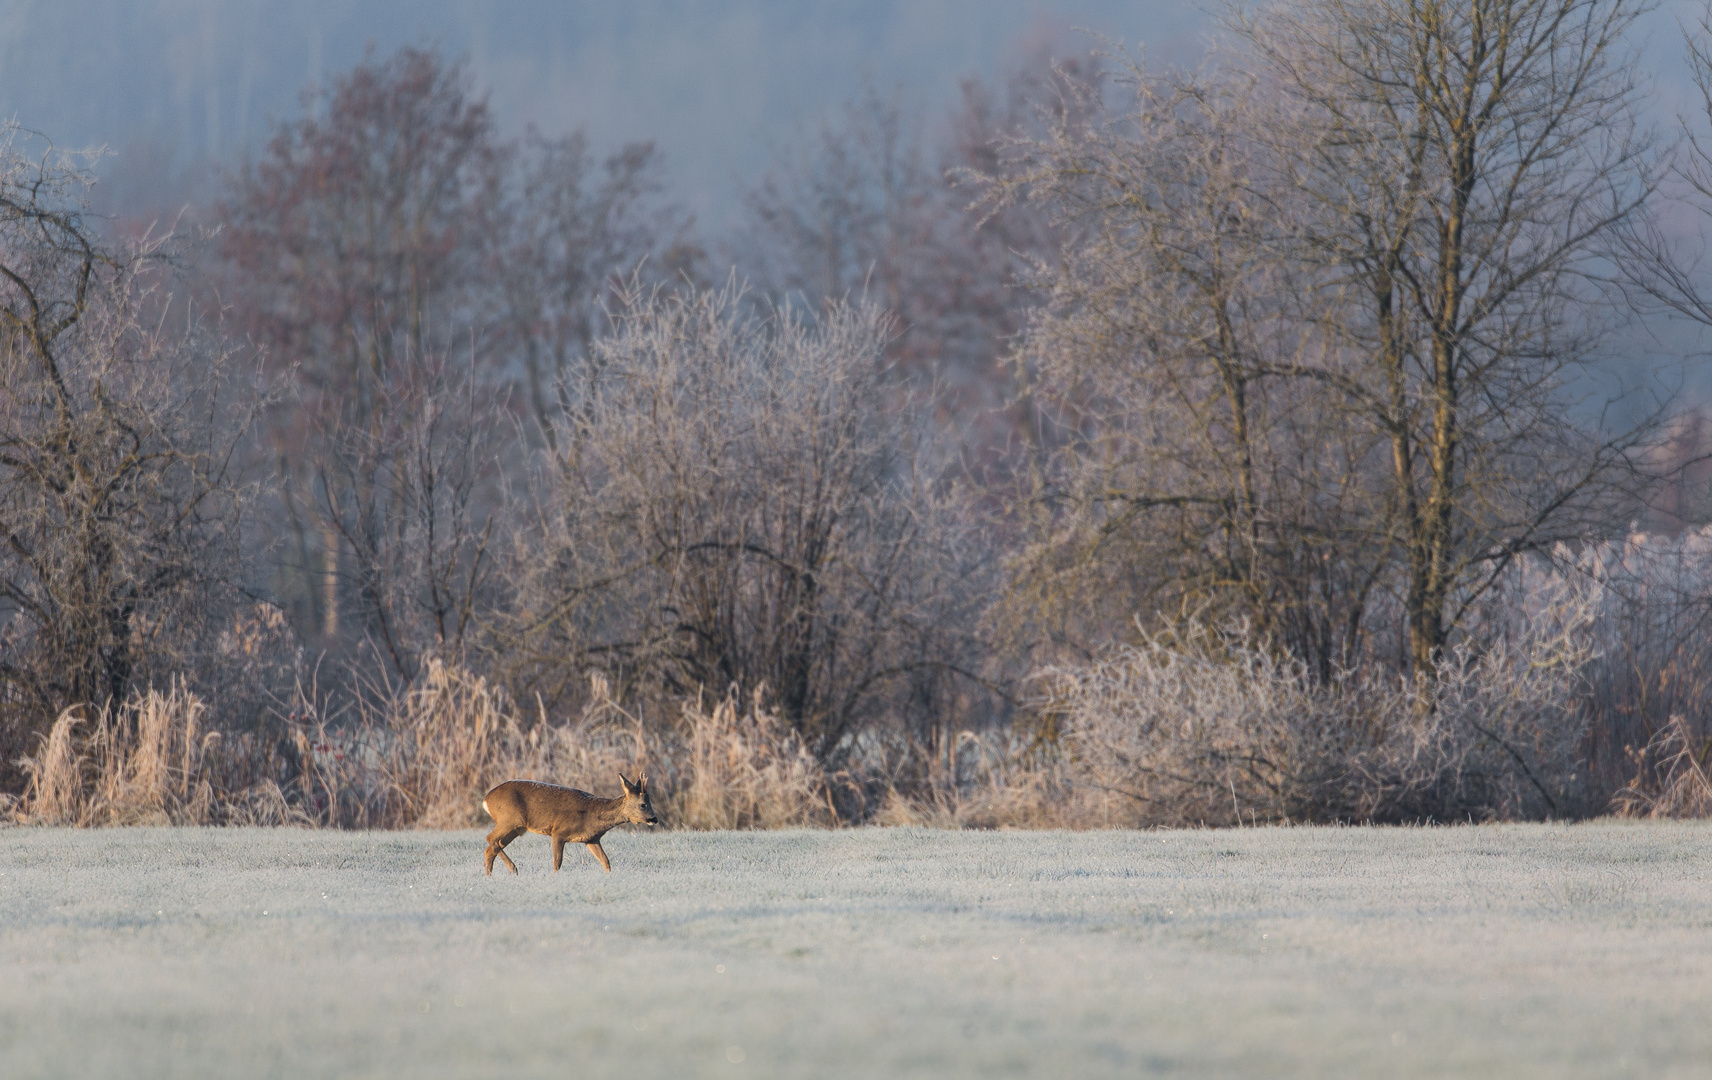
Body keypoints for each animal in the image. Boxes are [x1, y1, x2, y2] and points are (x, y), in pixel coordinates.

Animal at [482, 773, 653, 876]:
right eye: (643, 805)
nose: (654, 818)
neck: (593, 816)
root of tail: (486, 800)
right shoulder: (558, 831)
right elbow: (557, 861)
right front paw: (554, 877)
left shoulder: (591, 839)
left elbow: (605, 860)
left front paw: (610, 876)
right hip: (510, 819)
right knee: (490, 839)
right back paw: (514, 869)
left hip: (516, 828)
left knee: (490, 848)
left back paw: (490, 875)